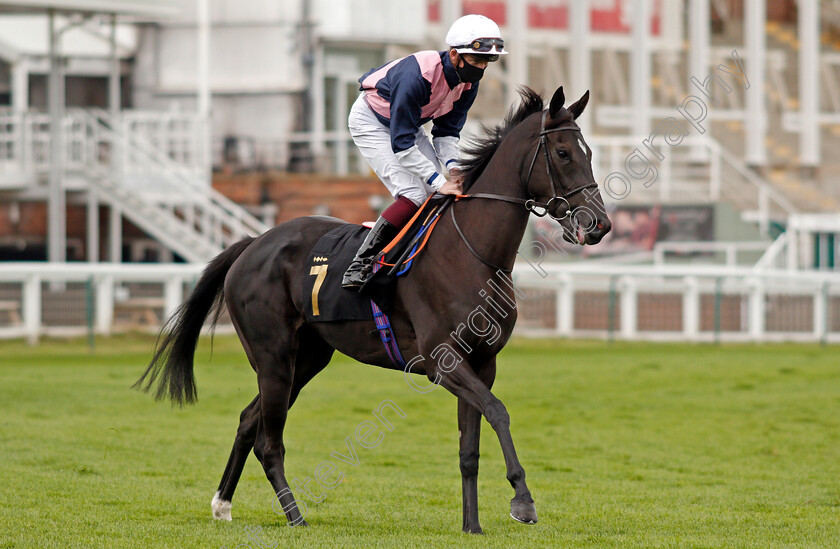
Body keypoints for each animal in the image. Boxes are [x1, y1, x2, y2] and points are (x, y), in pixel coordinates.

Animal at [136, 86, 612, 536]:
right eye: (564, 153)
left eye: (589, 153)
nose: (599, 225)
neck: (472, 252)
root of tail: (253, 242)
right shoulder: (443, 361)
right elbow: (498, 411)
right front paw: (523, 501)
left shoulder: (482, 362)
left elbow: (469, 447)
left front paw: (472, 525)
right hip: (273, 357)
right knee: (269, 441)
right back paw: (295, 517)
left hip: (306, 359)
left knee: (248, 420)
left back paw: (223, 505)